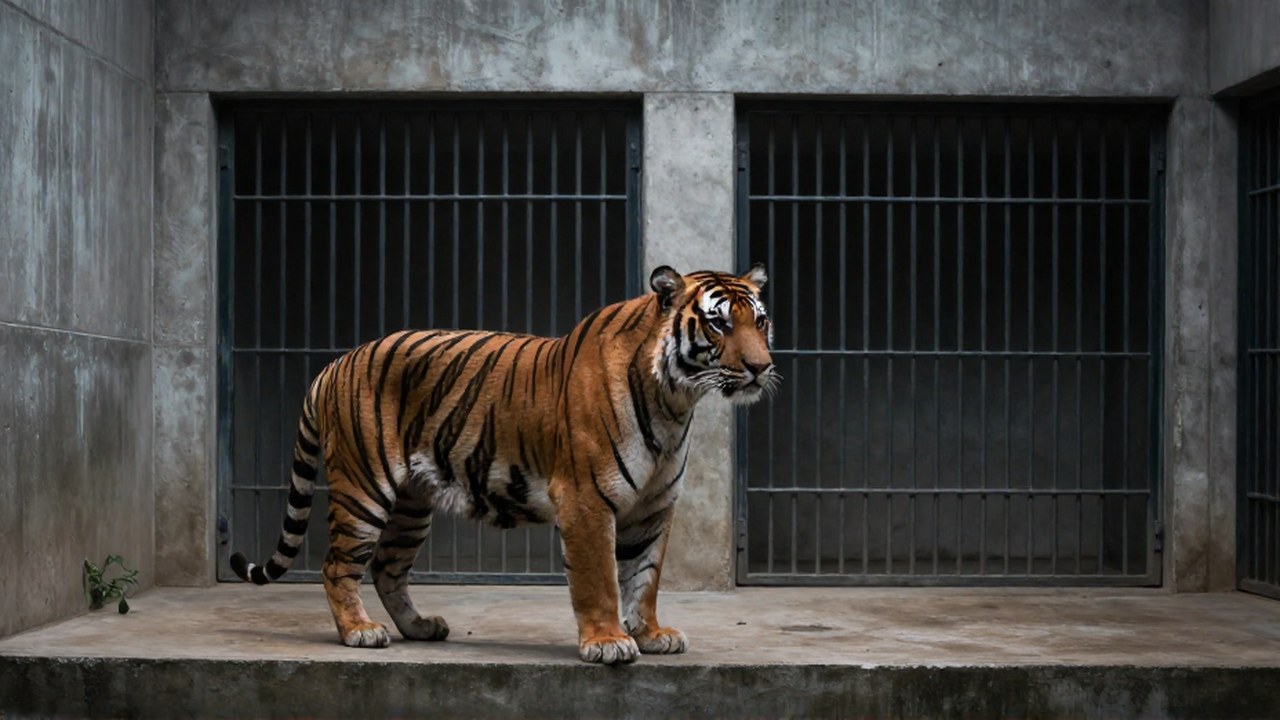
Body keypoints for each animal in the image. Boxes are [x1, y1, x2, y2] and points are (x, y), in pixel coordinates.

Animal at [230, 264, 778, 664]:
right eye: (719, 323)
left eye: (760, 321)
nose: (761, 367)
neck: (674, 401)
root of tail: (334, 363)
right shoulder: (586, 498)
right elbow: (601, 578)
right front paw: (607, 642)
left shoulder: (653, 506)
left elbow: (644, 579)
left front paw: (651, 634)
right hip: (364, 488)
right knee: (337, 564)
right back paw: (360, 631)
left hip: (411, 502)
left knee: (388, 566)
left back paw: (419, 627)